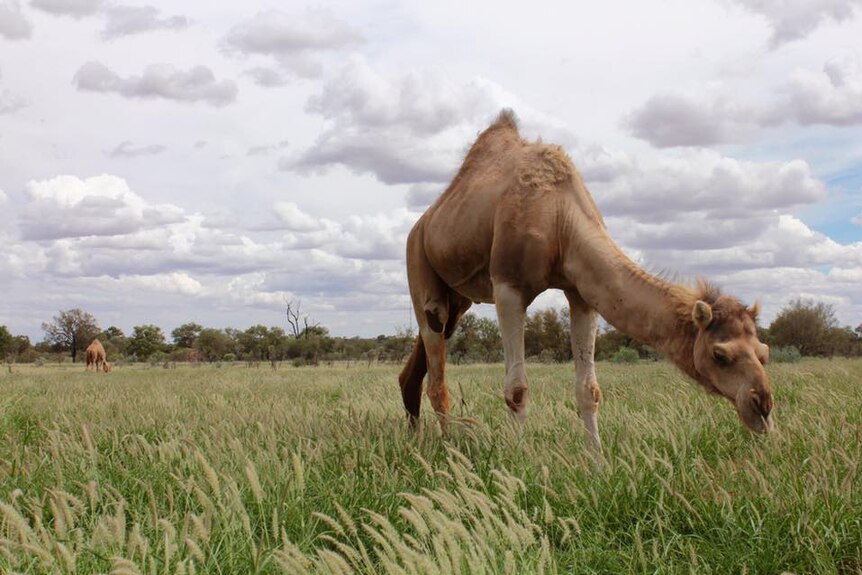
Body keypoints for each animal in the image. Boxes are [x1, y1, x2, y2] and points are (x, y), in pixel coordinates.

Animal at [402, 109, 772, 450]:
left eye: (763, 352)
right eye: (720, 355)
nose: (763, 405)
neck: (558, 218)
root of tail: (423, 222)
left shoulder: (582, 292)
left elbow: (589, 389)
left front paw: (597, 459)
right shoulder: (508, 286)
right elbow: (517, 389)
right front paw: (518, 460)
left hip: (458, 299)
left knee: (426, 356)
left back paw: (415, 428)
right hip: (418, 262)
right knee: (436, 368)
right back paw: (447, 443)